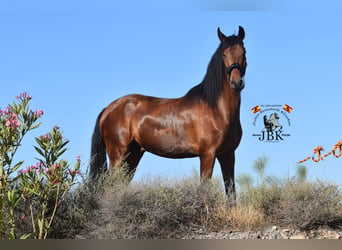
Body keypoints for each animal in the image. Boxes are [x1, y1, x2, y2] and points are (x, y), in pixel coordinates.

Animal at [89, 26, 247, 198]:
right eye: (224, 54)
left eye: (243, 52)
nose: (236, 83)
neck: (217, 110)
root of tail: (108, 108)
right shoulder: (207, 154)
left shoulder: (228, 154)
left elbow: (231, 193)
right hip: (118, 155)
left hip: (133, 156)